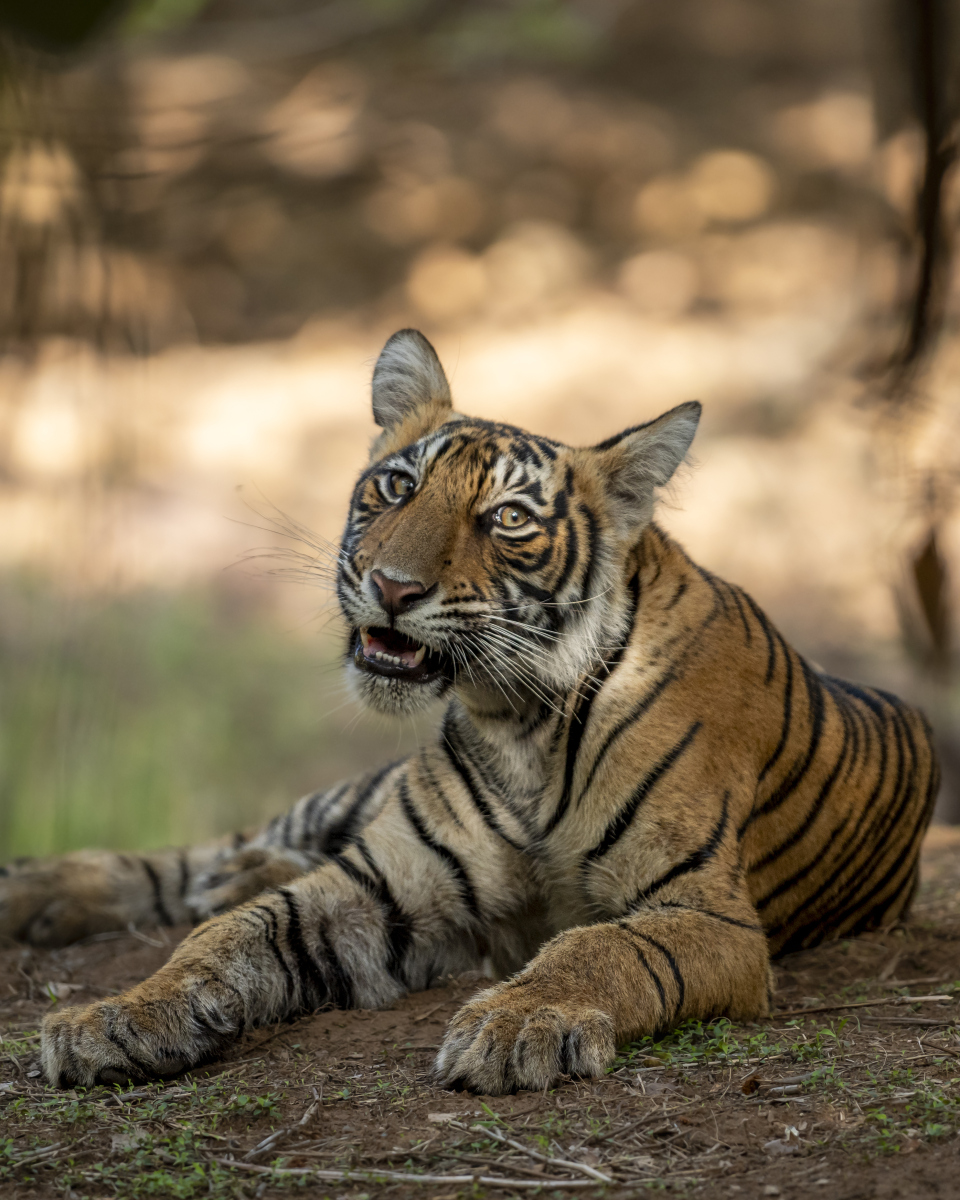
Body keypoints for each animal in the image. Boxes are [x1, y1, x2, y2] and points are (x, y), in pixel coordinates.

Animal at [1, 331, 936, 1099]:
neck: (518, 718)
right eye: (397, 484)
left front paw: (517, 1024)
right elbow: (228, 938)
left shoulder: (706, 913)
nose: (391, 587)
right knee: (208, 855)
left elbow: (600, 946)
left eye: (508, 518)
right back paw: (46, 889)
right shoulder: (382, 883)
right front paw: (115, 1017)